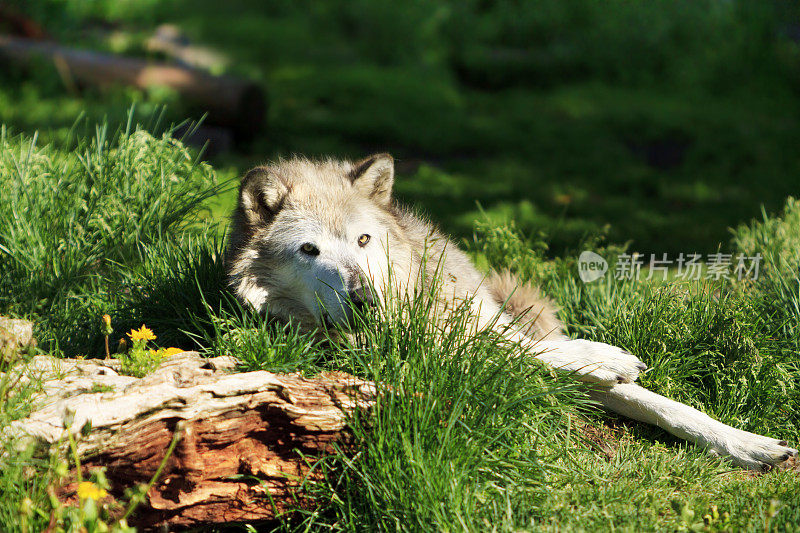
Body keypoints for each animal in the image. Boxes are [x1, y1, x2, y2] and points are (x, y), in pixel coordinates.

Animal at [227, 153, 800, 470]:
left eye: (363, 241)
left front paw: (749, 445)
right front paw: (604, 359)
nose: (369, 301)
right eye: (310, 251)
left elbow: (662, 403)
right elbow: (527, 354)